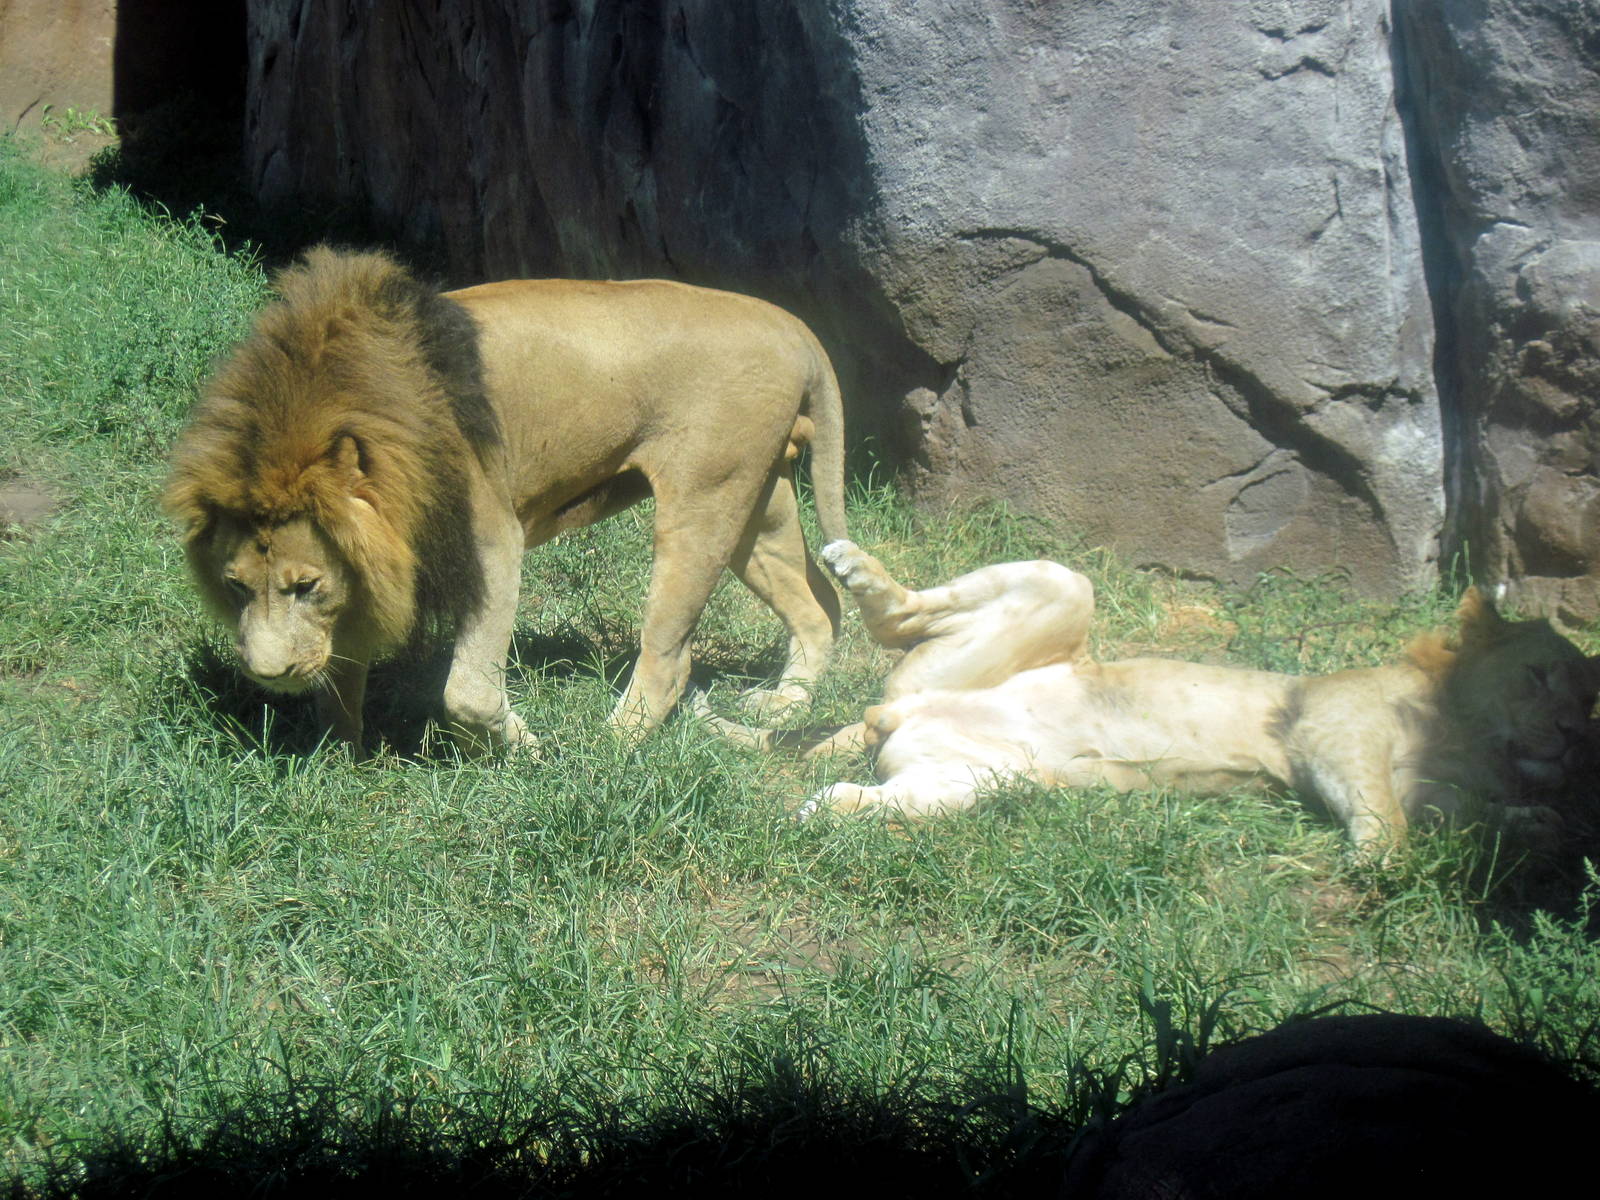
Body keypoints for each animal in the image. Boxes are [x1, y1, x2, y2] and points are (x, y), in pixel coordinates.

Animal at [164, 247, 847, 753]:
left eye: (304, 586)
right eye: (235, 587)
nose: (266, 674)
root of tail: (791, 324)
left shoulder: (491, 540)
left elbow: (466, 691)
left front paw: (521, 746)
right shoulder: (374, 562)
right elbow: (340, 674)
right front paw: (338, 756)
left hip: (704, 498)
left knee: (670, 652)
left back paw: (611, 746)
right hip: (758, 501)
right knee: (817, 607)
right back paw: (784, 704)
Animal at [701, 542, 1599, 853]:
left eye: (1591, 705)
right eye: (1542, 675)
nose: (1570, 734)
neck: (1471, 737)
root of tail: (890, 714)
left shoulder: (1445, 787)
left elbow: (1468, 812)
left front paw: (1535, 818)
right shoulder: (1325, 724)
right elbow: (1377, 802)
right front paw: (1383, 858)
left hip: (978, 777)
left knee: (862, 791)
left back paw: (820, 811)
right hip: (1061, 589)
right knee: (900, 617)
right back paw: (855, 568)